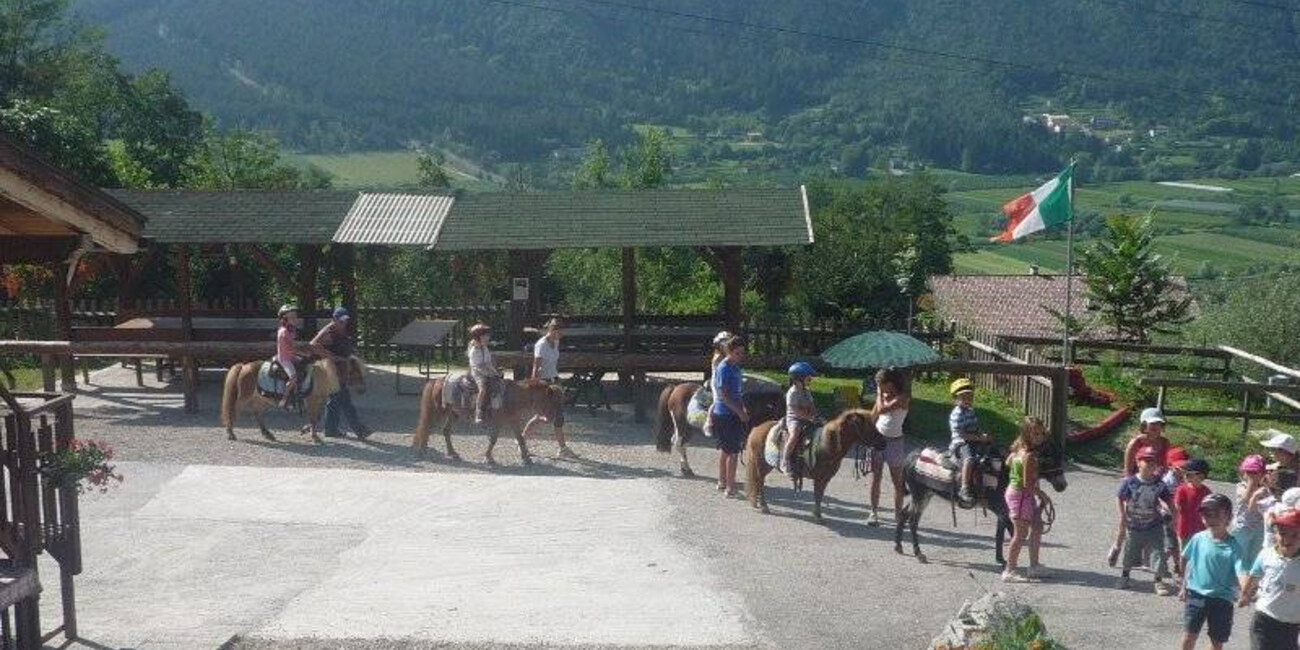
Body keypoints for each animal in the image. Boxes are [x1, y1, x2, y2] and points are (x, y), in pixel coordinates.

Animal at [220, 356, 366, 441]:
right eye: (356, 372)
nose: (362, 390)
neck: (324, 374)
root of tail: (244, 366)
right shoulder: (312, 401)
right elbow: (313, 418)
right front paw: (314, 437)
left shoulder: (317, 401)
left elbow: (316, 418)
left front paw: (306, 430)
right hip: (245, 396)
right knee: (233, 410)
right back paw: (231, 433)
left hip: (260, 397)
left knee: (257, 413)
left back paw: (268, 434)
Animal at [410, 377, 564, 467]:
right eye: (553, 402)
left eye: (560, 401)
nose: (560, 421)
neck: (512, 396)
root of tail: (437, 380)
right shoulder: (498, 422)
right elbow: (493, 439)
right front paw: (488, 458)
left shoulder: (513, 420)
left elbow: (520, 438)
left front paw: (526, 459)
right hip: (438, 412)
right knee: (427, 428)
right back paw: (423, 451)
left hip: (453, 413)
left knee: (445, 431)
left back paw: (453, 453)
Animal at [655, 379, 785, 478]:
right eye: (781, 406)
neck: (747, 409)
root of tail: (675, 388)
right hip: (681, 425)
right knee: (679, 444)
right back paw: (686, 468)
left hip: (687, 428)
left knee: (680, 443)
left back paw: (685, 468)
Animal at [743, 410, 883, 522]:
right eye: (868, 427)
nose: (883, 443)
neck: (826, 444)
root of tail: (756, 429)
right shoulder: (819, 478)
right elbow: (817, 495)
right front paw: (818, 516)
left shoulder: (825, 479)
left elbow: (819, 496)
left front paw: (817, 514)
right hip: (761, 465)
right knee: (759, 482)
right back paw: (764, 506)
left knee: (759, 482)